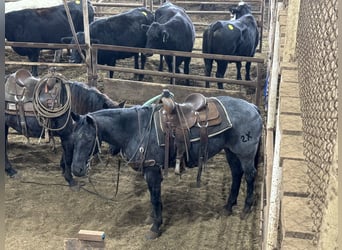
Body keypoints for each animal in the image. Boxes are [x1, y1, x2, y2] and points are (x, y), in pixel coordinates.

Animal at [69, 91, 262, 239]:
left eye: (88, 138)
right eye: (74, 137)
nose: (76, 170)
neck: (135, 129)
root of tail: (253, 107)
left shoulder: (152, 170)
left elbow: (155, 197)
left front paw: (155, 228)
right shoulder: (149, 170)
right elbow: (152, 196)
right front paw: (151, 218)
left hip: (245, 153)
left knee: (250, 175)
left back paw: (246, 209)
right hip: (231, 151)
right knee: (236, 174)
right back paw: (228, 207)